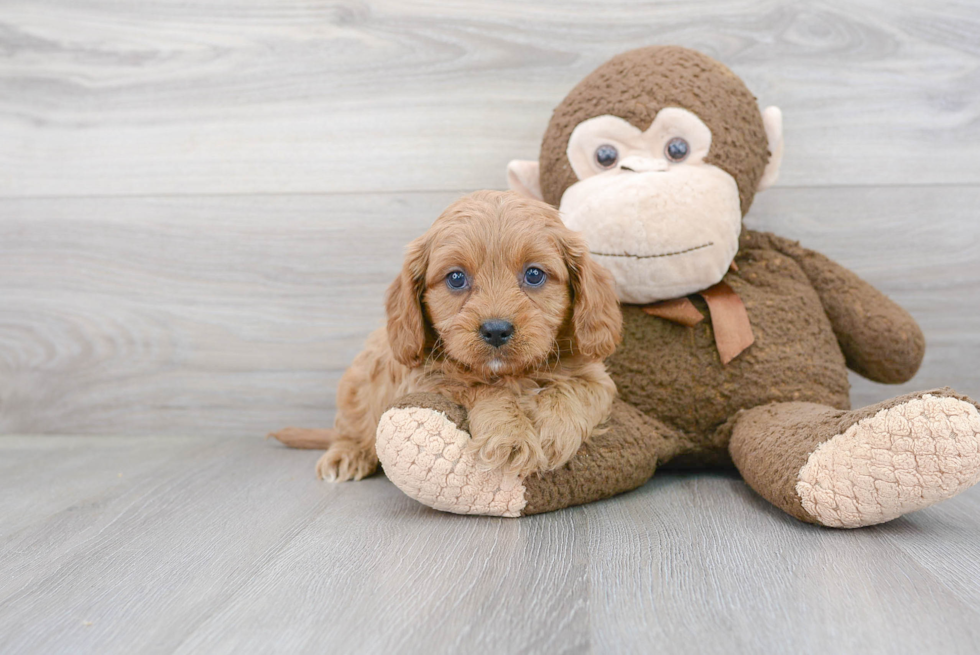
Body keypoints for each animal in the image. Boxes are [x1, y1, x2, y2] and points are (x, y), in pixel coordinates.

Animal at [268, 190, 620, 482]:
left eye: (534, 274)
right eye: (456, 278)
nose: (496, 330)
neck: (513, 374)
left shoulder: (596, 376)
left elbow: (572, 390)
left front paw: (553, 430)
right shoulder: (426, 381)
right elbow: (485, 390)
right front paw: (510, 436)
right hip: (359, 381)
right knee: (350, 426)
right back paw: (347, 454)